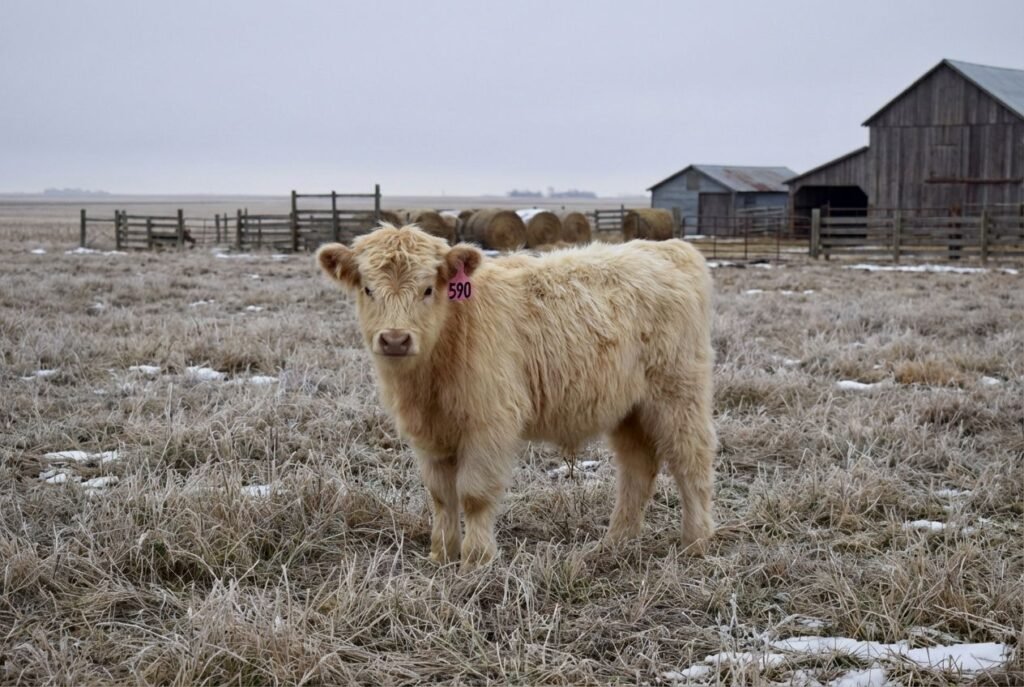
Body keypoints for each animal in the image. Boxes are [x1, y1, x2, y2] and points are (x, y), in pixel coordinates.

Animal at [317, 224, 715, 571]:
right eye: (367, 289)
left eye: (428, 289)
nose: (395, 339)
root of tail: (667, 248)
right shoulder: (430, 434)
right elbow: (441, 495)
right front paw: (442, 555)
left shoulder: (489, 423)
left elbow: (473, 494)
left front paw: (476, 561)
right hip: (627, 409)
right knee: (637, 468)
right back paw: (616, 542)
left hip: (679, 394)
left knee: (691, 460)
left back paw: (695, 542)